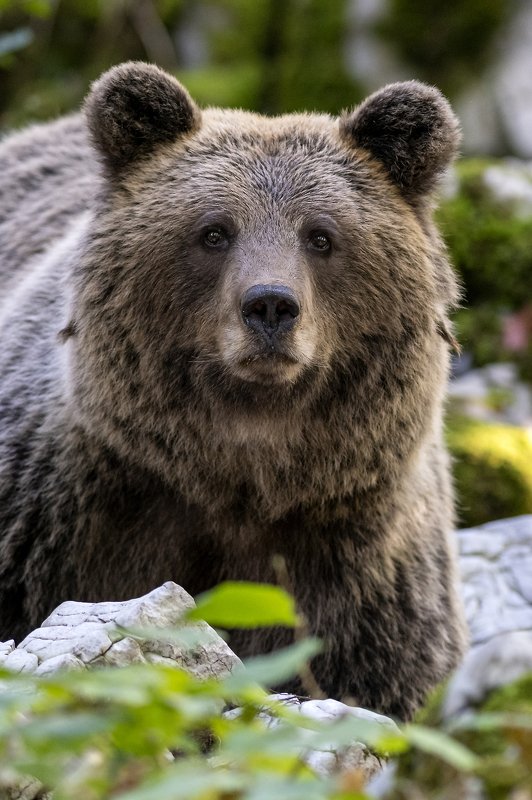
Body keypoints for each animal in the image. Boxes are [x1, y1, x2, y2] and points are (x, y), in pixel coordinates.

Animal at [0, 62, 467, 720]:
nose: (270, 304)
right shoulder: (62, 519)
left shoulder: (355, 567)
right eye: (215, 231)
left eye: (321, 236)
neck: (237, 476)